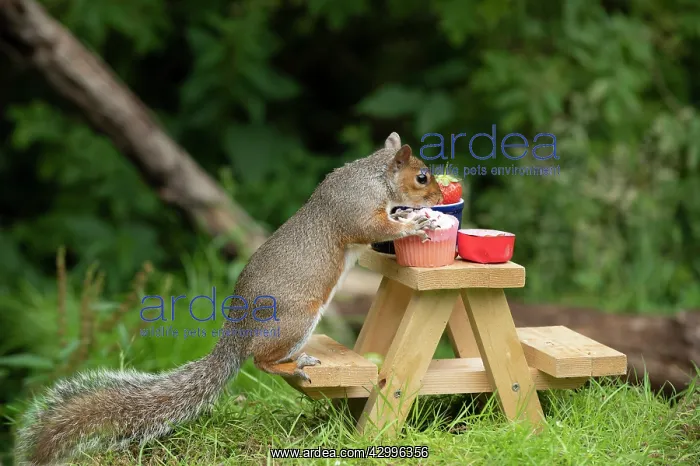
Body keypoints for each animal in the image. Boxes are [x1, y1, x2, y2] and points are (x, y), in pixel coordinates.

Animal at [15, 132, 443, 465]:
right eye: (422, 176)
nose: (440, 196)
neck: (373, 176)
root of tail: (237, 332)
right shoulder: (355, 210)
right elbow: (373, 228)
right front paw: (414, 224)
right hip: (297, 320)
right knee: (260, 360)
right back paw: (294, 364)